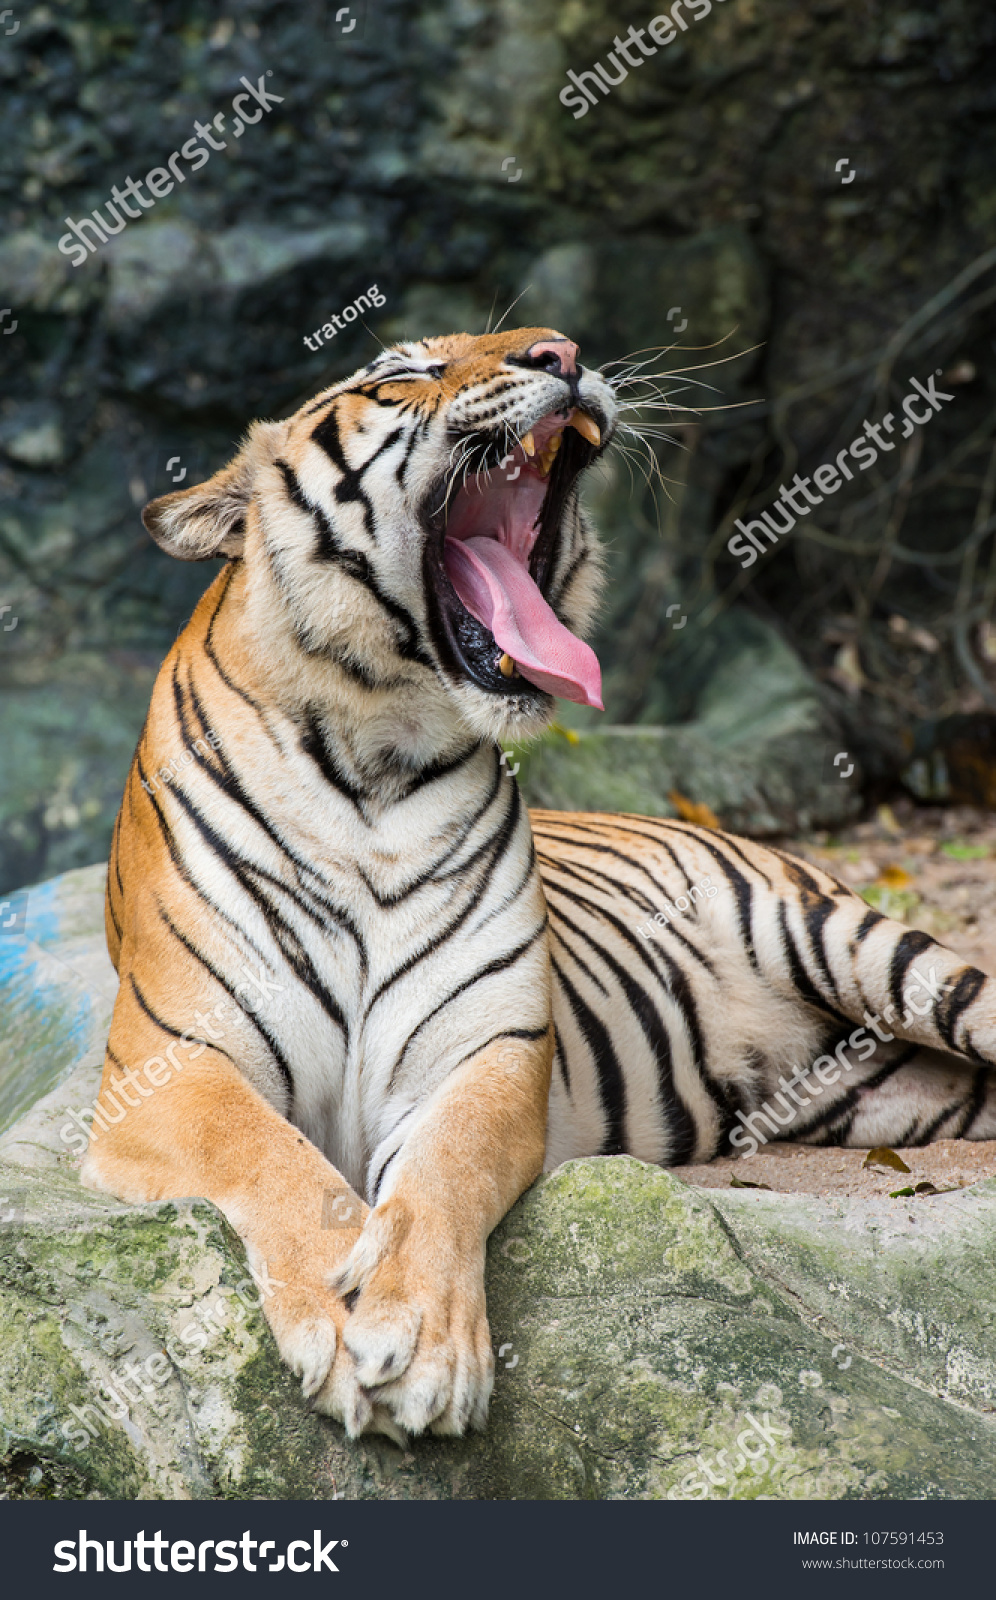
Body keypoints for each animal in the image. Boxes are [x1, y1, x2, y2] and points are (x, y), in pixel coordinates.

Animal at [84, 321, 996, 1440]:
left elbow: (441, 1175)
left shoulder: (486, 1053)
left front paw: (416, 1342)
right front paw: (346, 1313)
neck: (375, 760)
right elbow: (272, 1156)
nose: (562, 351)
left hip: (880, 958)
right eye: (405, 372)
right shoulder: (168, 1065)